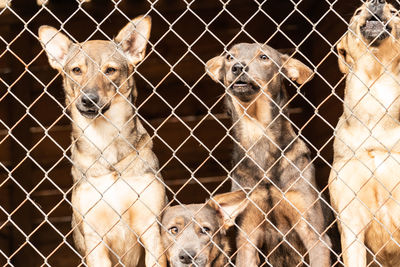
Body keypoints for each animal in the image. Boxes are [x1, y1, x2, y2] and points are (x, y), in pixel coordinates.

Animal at [38, 15, 166, 266]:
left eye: (110, 70)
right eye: (76, 70)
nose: (88, 100)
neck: (106, 145)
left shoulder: (151, 231)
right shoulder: (95, 240)